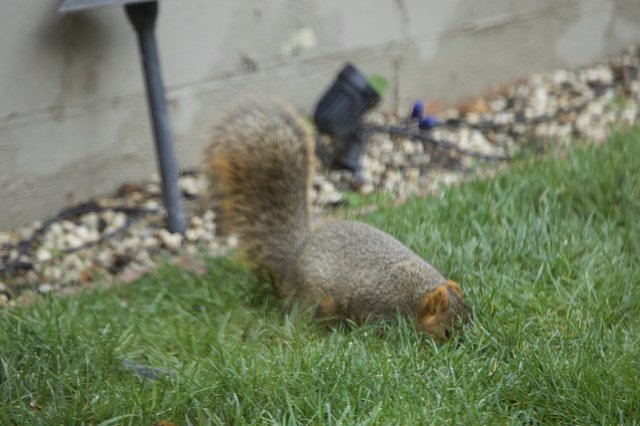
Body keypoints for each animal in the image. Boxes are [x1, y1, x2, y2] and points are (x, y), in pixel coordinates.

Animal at [204, 99, 472, 342]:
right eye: (446, 333)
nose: (461, 348)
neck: (417, 293)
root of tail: (293, 264)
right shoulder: (378, 302)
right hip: (319, 299)